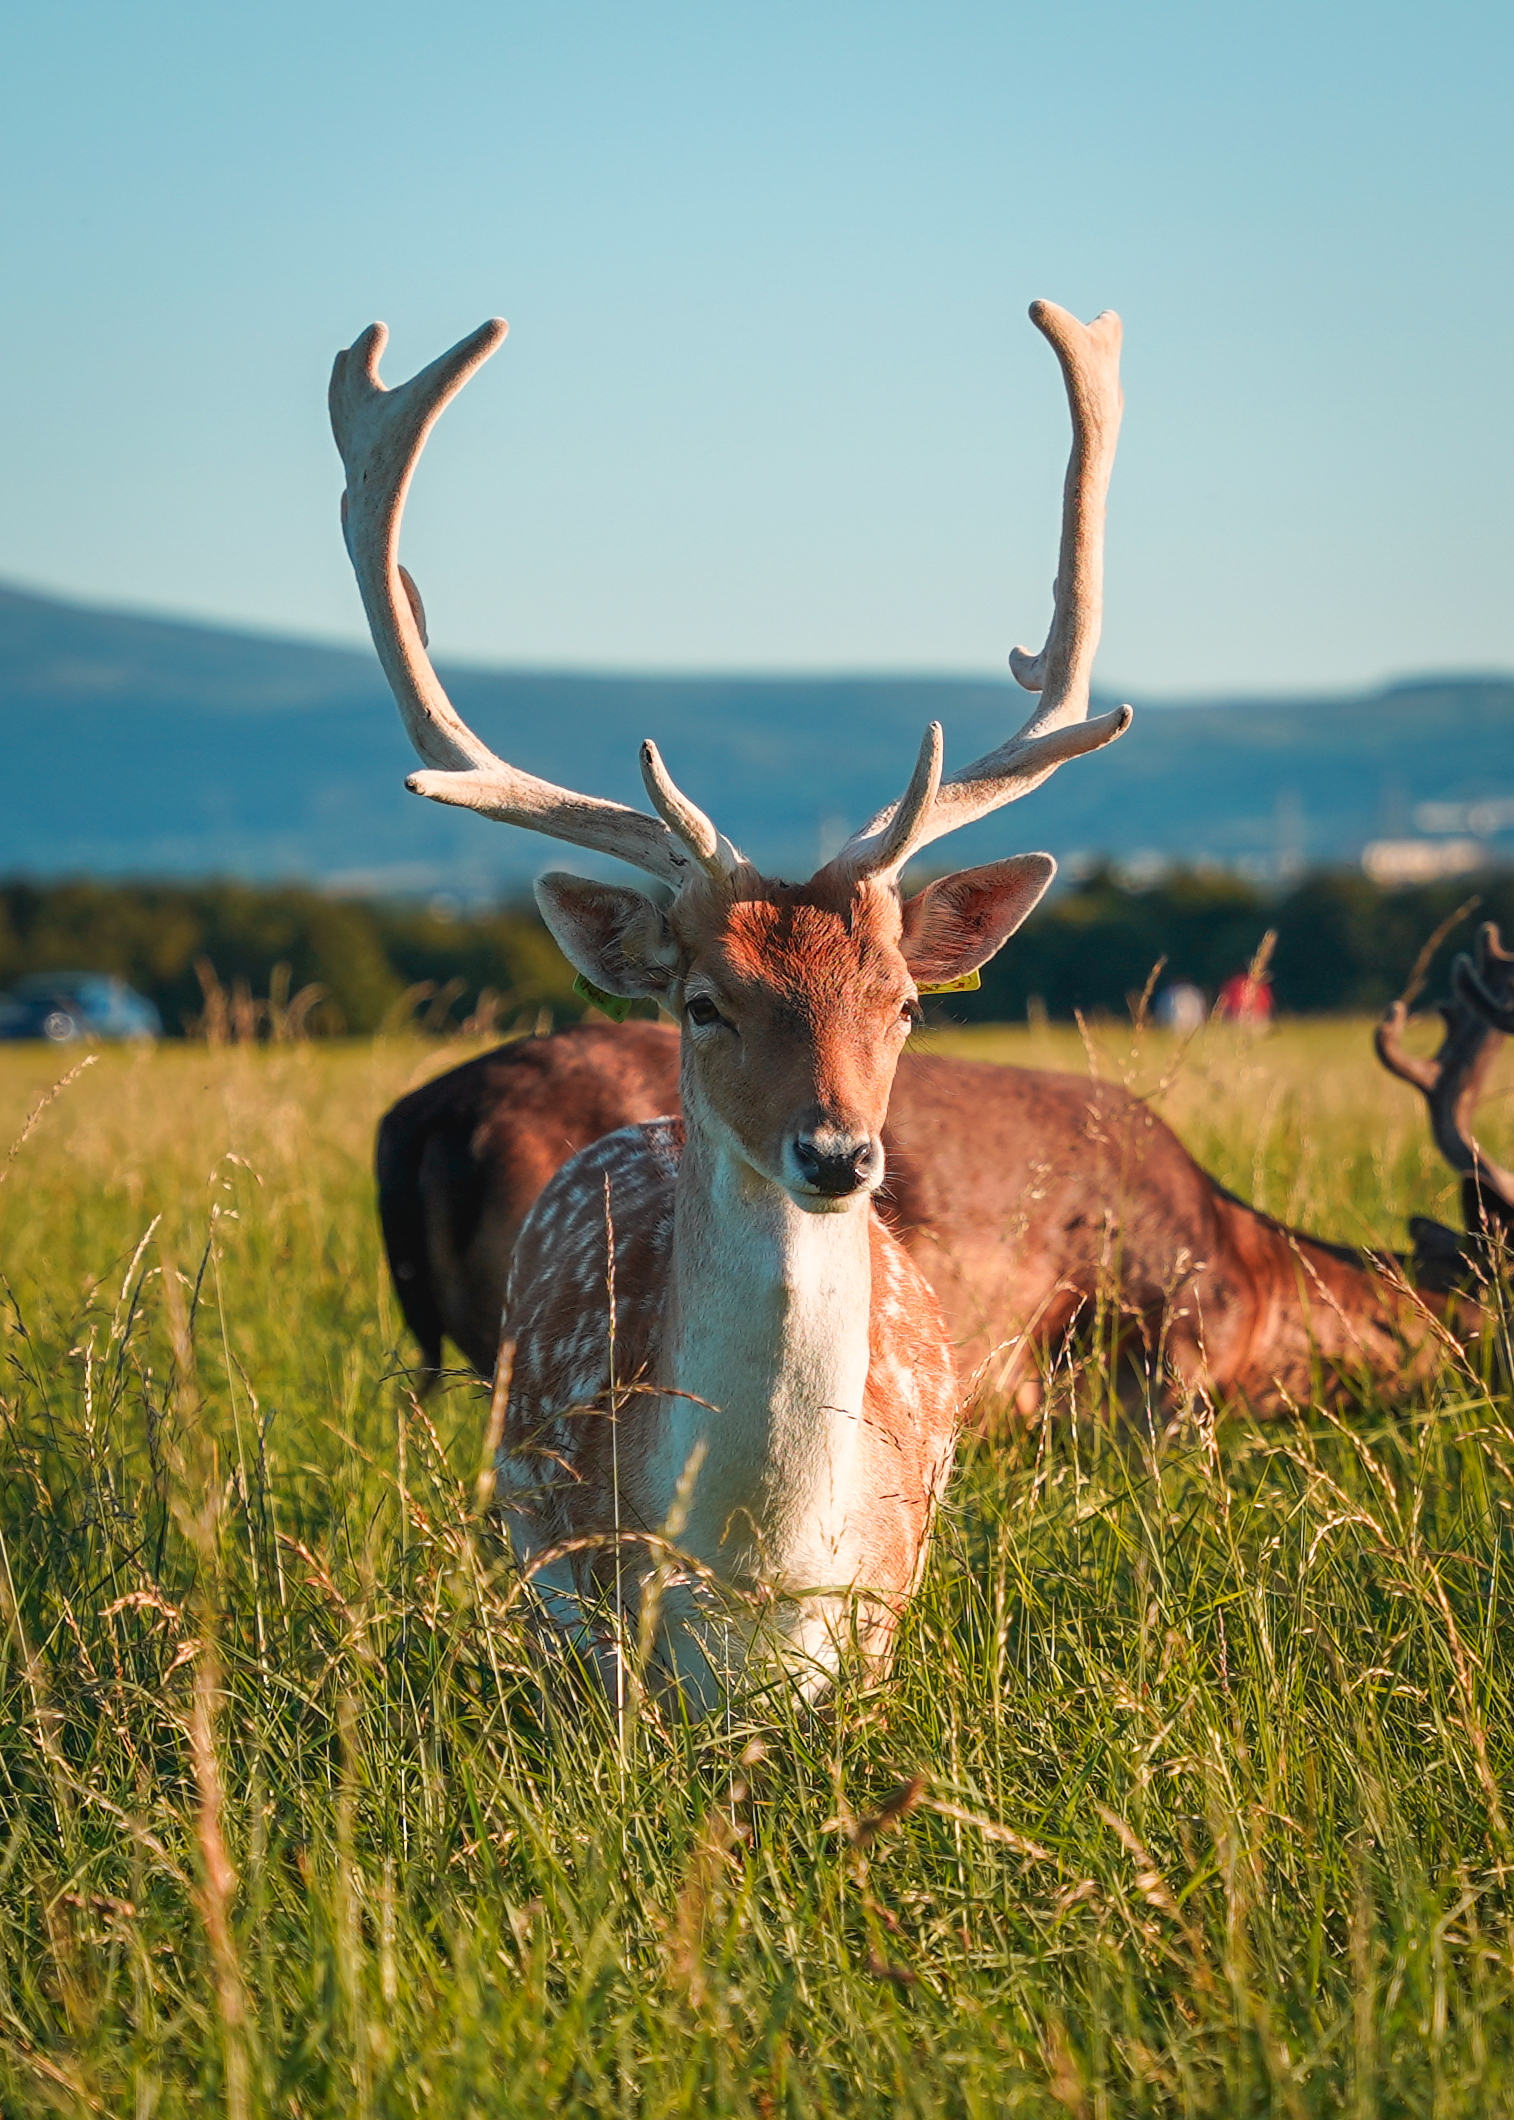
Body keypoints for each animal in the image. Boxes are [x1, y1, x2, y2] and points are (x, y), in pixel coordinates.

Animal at [332, 296, 1133, 1699]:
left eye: (904, 1004)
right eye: (703, 1002)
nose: (837, 1153)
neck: (754, 1591)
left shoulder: (881, 1624)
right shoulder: (580, 1619)